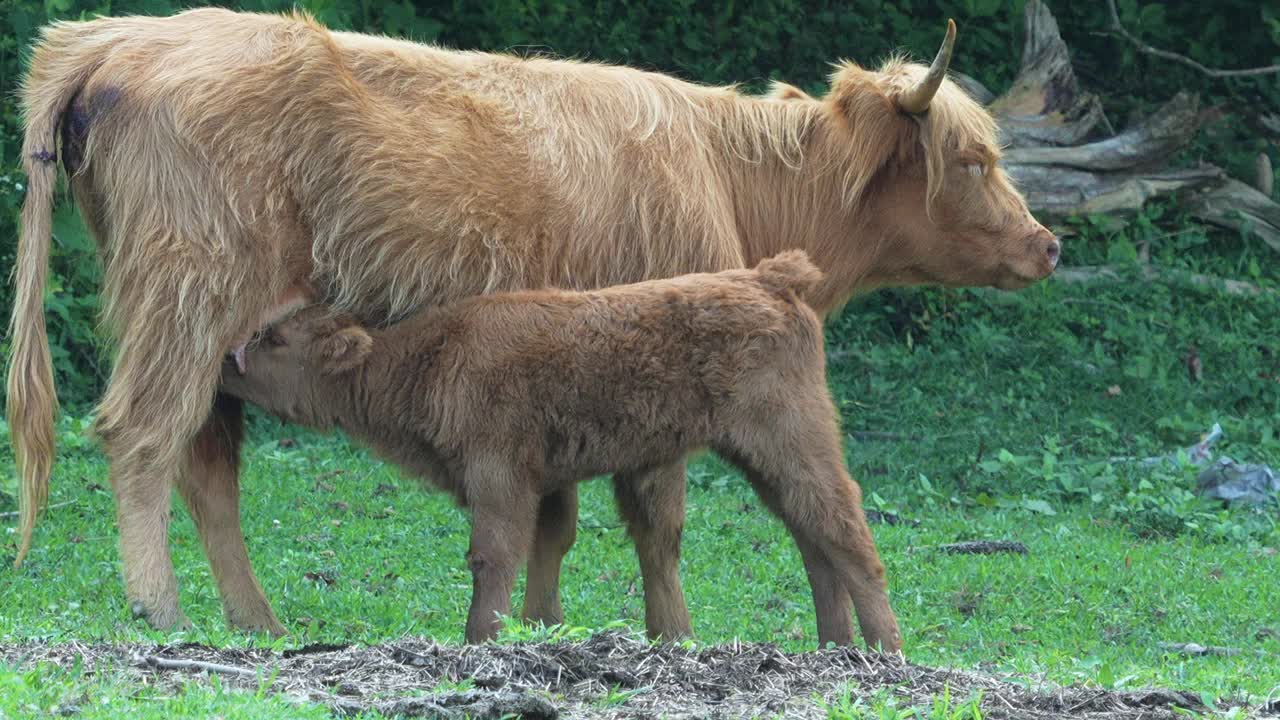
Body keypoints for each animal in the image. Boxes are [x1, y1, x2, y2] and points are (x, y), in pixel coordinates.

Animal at [217, 253, 901, 650]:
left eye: (276, 338)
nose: (225, 358)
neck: (432, 357)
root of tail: (768, 277)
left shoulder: (500, 477)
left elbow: (493, 556)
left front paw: (479, 642)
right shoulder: (542, 482)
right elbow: (542, 550)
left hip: (792, 439)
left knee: (842, 526)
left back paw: (885, 653)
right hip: (765, 459)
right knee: (812, 538)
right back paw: (835, 648)